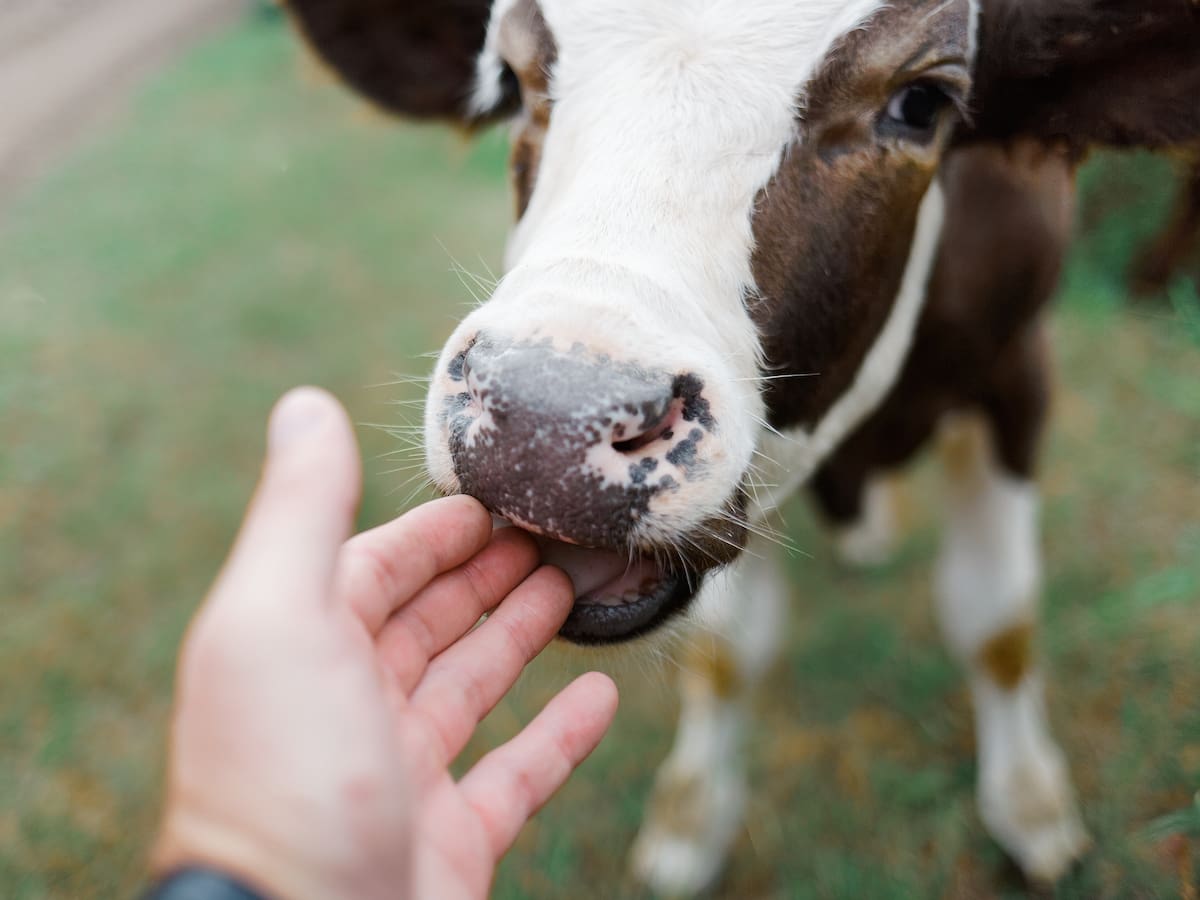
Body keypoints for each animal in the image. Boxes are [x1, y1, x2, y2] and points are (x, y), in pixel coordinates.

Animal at [284, 0, 1200, 893]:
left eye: (921, 103)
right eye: (512, 79)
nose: (547, 424)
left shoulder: (1016, 370)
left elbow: (997, 617)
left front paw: (1030, 802)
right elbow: (729, 651)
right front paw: (693, 817)